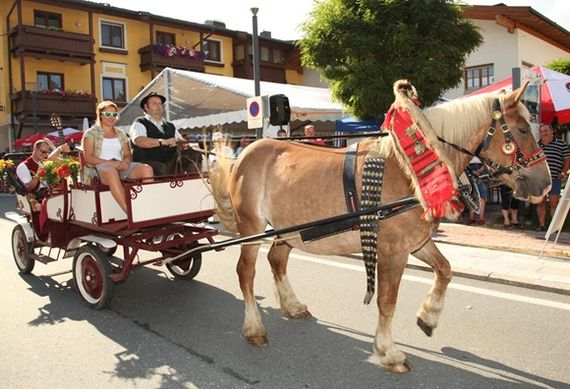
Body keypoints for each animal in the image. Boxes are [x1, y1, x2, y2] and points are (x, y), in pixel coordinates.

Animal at [206, 79, 548, 372]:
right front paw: (388, 351)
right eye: (521, 129)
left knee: (277, 259)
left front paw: (428, 317)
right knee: (246, 273)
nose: (544, 184)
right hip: (251, 228)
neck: (409, 167)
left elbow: (445, 270)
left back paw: (293, 306)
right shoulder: (393, 252)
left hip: (288, 230)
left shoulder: (417, 243)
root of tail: (245, 153)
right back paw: (254, 328)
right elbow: (387, 301)